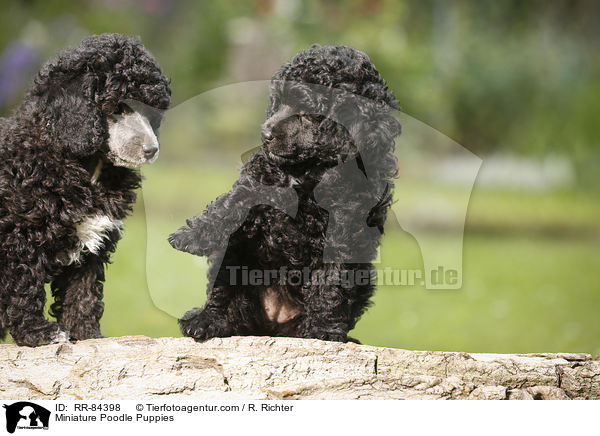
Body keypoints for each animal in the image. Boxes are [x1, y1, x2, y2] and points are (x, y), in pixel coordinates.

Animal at [0, 33, 171, 348]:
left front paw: (87, 335)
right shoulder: (17, 239)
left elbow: (84, 292)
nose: (151, 150)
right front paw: (37, 333)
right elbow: (23, 288)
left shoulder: (94, 242)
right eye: (116, 108)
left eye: (150, 110)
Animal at [169, 45, 400, 344]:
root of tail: (272, 323)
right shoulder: (258, 181)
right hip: (235, 262)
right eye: (277, 103)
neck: (312, 170)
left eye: (305, 110)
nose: (265, 133)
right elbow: (229, 204)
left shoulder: (347, 228)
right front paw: (192, 235)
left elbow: (333, 282)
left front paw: (323, 331)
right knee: (223, 292)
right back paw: (204, 320)